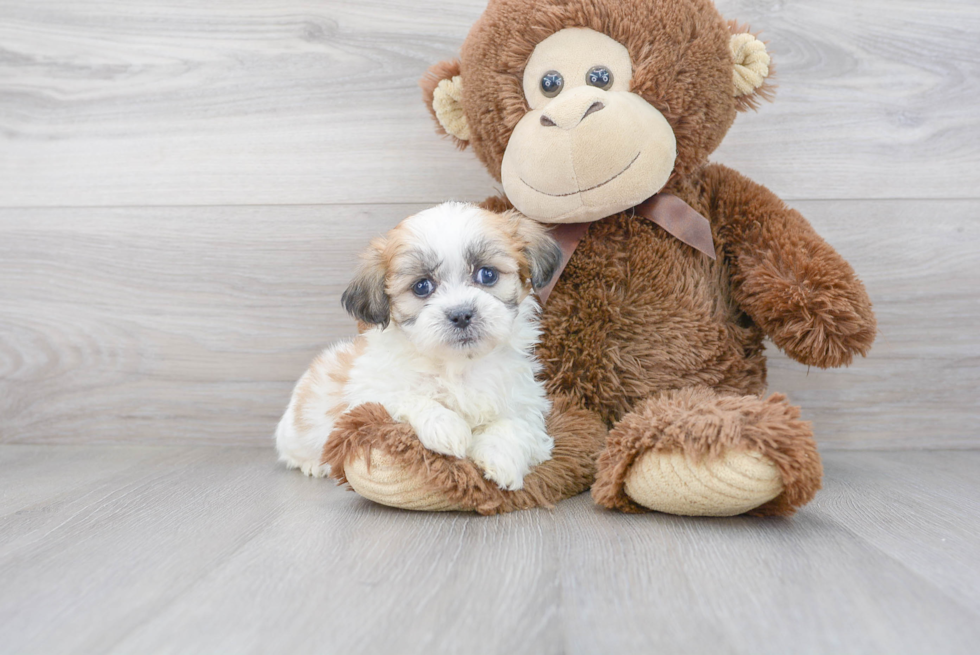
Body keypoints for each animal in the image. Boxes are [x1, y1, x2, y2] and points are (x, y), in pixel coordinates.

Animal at [280, 202, 564, 490]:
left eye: (487, 274)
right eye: (422, 286)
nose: (461, 314)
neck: (460, 366)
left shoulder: (525, 401)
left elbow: (513, 423)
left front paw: (500, 457)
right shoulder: (367, 393)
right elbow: (409, 397)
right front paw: (447, 427)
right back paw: (313, 464)